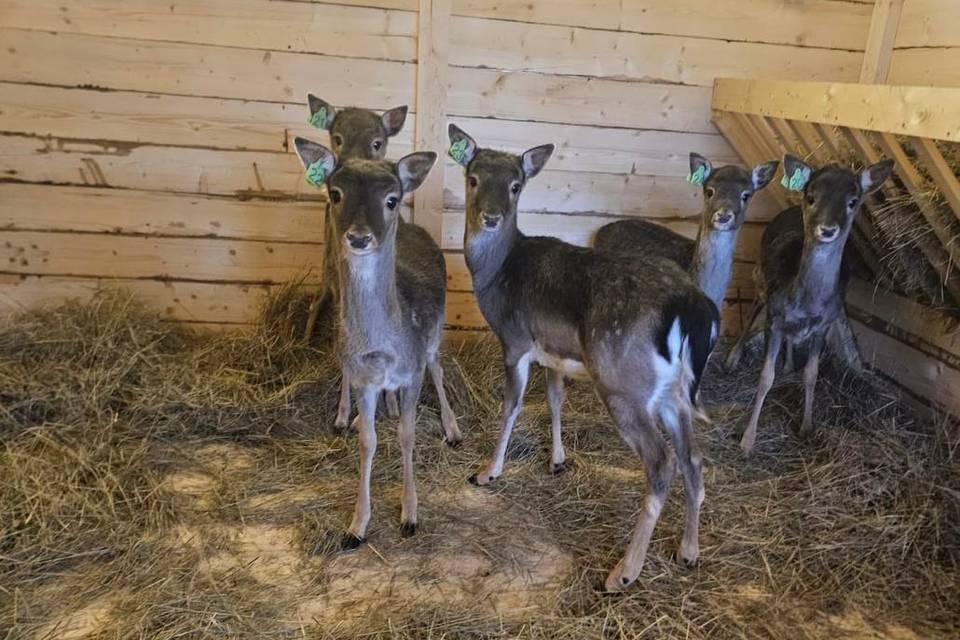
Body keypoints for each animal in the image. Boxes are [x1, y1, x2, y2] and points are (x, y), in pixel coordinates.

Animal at [294, 136, 460, 544]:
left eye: (391, 198)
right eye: (335, 193)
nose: (358, 237)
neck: (383, 349)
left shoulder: (412, 371)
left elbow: (408, 434)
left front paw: (410, 516)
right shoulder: (363, 378)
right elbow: (368, 441)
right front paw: (357, 526)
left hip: (435, 333)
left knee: (438, 367)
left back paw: (452, 429)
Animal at [304, 92, 408, 428]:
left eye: (378, 142)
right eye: (337, 137)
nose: (351, 164)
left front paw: (392, 404)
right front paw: (343, 413)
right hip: (326, 269)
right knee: (316, 303)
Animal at [452, 124, 720, 592]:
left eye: (516, 186)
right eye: (473, 178)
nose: (491, 217)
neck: (495, 275)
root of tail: (692, 306)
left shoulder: (515, 340)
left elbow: (511, 406)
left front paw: (488, 472)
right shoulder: (555, 354)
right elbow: (555, 401)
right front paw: (557, 461)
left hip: (622, 384)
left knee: (662, 462)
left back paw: (623, 573)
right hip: (673, 392)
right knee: (693, 458)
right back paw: (688, 552)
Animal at [732, 155, 896, 456]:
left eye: (853, 200)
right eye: (811, 196)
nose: (827, 229)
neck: (806, 302)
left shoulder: (824, 325)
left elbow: (812, 374)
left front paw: (807, 427)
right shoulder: (774, 317)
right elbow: (765, 376)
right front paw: (747, 440)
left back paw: (788, 365)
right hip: (759, 278)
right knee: (751, 310)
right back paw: (733, 358)